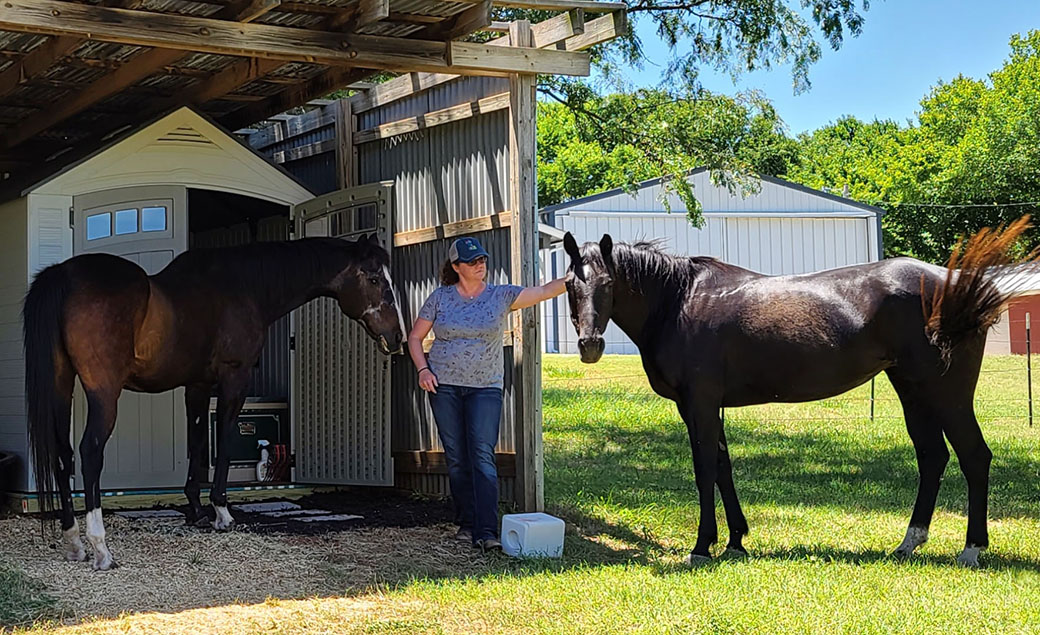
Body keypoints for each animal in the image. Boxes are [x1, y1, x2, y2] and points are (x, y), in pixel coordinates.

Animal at [23, 234, 405, 569]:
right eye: (374, 278)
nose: (397, 337)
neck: (243, 288)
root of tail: (65, 275)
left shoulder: (197, 385)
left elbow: (196, 443)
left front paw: (195, 509)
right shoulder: (234, 380)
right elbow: (223, 441)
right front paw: (222, 512)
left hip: (61, 385)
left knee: (62, 454)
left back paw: (73, 542)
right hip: (104, 392)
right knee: (89, 452)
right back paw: (100, 548)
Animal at [565, 220, 1035, 569]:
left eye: (608, 283)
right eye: (571, 284)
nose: (589, 344)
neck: (681, 301)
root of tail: (958, 283)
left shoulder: (699, 403)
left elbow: (704, 470)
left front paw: (702, 547)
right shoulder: (706, 406)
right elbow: (723, 467)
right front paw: (736, 541)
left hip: (947, 394)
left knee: (974, 457)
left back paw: (971, 549)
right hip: (912, 389)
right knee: (932, 457)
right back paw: (908, 543)